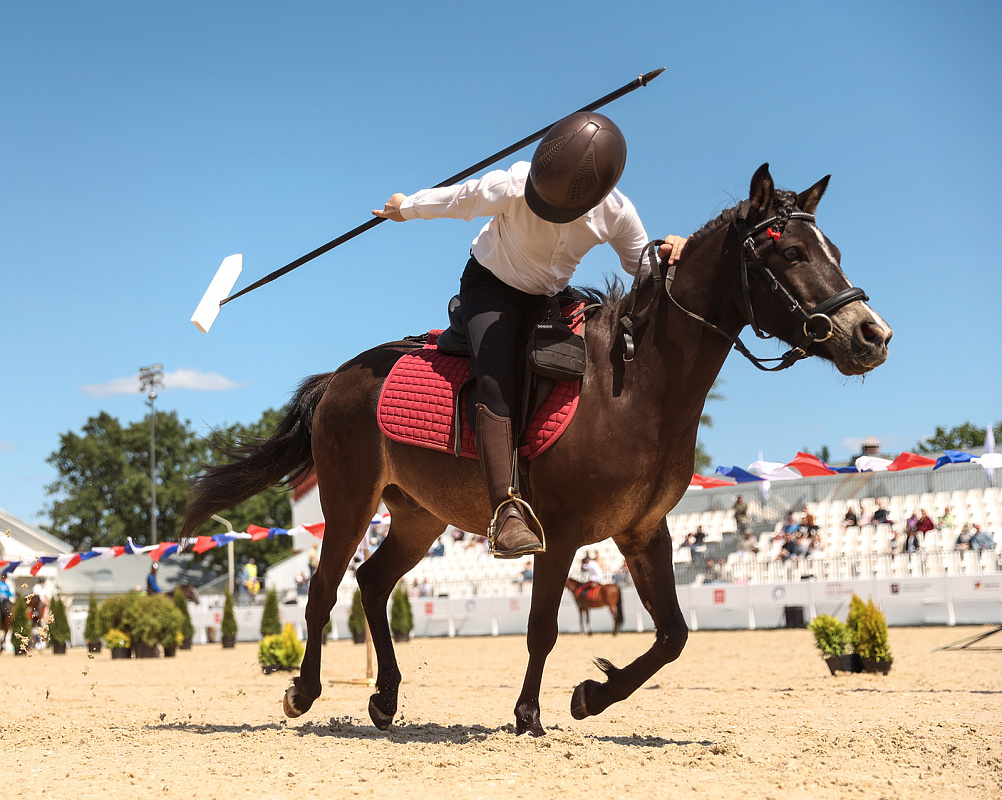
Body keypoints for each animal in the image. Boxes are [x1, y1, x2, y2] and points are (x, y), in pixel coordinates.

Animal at [182, 162, 893, 737]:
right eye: (792, 251)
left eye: (832, 249)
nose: (872, 334)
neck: (631, 386)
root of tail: (341, 375)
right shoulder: (562, 530)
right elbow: (543, 626)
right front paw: (529, 714)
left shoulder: (644, 531)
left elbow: (673, 635)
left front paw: (592, 695)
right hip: (349, 498)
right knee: (325, 590)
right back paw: (303, 692)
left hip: (418, 514)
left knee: (373, 582)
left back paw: (385, 698)